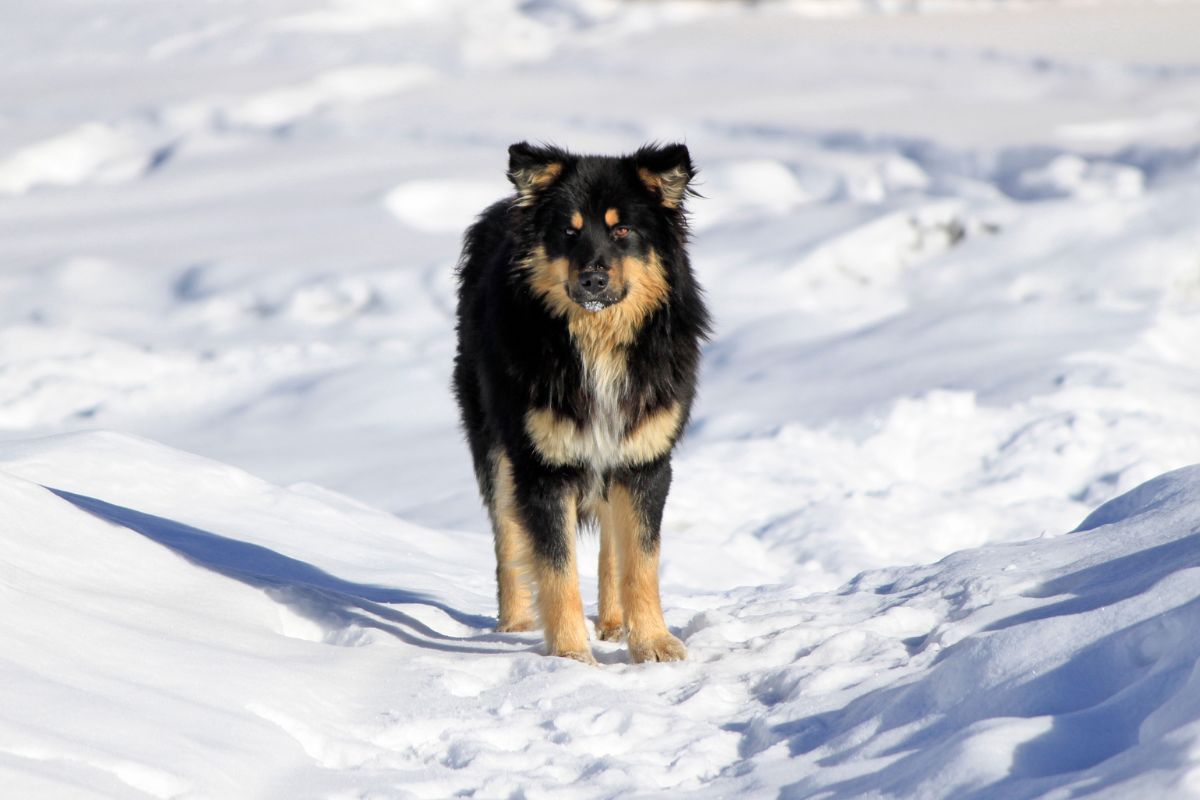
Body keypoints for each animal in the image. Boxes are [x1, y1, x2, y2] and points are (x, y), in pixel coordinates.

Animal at [453, 142, 705, 662]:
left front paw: (651, 643)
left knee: (611, 546)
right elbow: (556, 569)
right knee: (507, 540)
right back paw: (515, 625)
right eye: (568, 233)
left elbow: (640, 562)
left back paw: (612, 623)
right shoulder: (542, 467)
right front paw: (571, 657)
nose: (592, 280)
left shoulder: (644, 461)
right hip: (494, 448)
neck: (596, 342)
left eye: (622, 230)